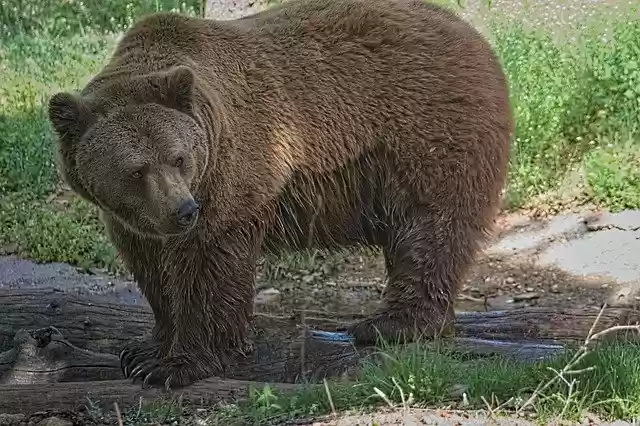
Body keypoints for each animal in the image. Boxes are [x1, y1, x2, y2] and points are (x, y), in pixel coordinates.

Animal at [47, 0, 514, 389]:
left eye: (178, 157)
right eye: (137, 170)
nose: (183, 210)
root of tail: (471, 32)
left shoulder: (230, 173)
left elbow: (208, 265)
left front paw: (177, 365)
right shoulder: (134, 218)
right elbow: (151, 267)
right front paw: (146, 348)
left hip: (427, 131)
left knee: (430, 228)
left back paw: (393, 324)